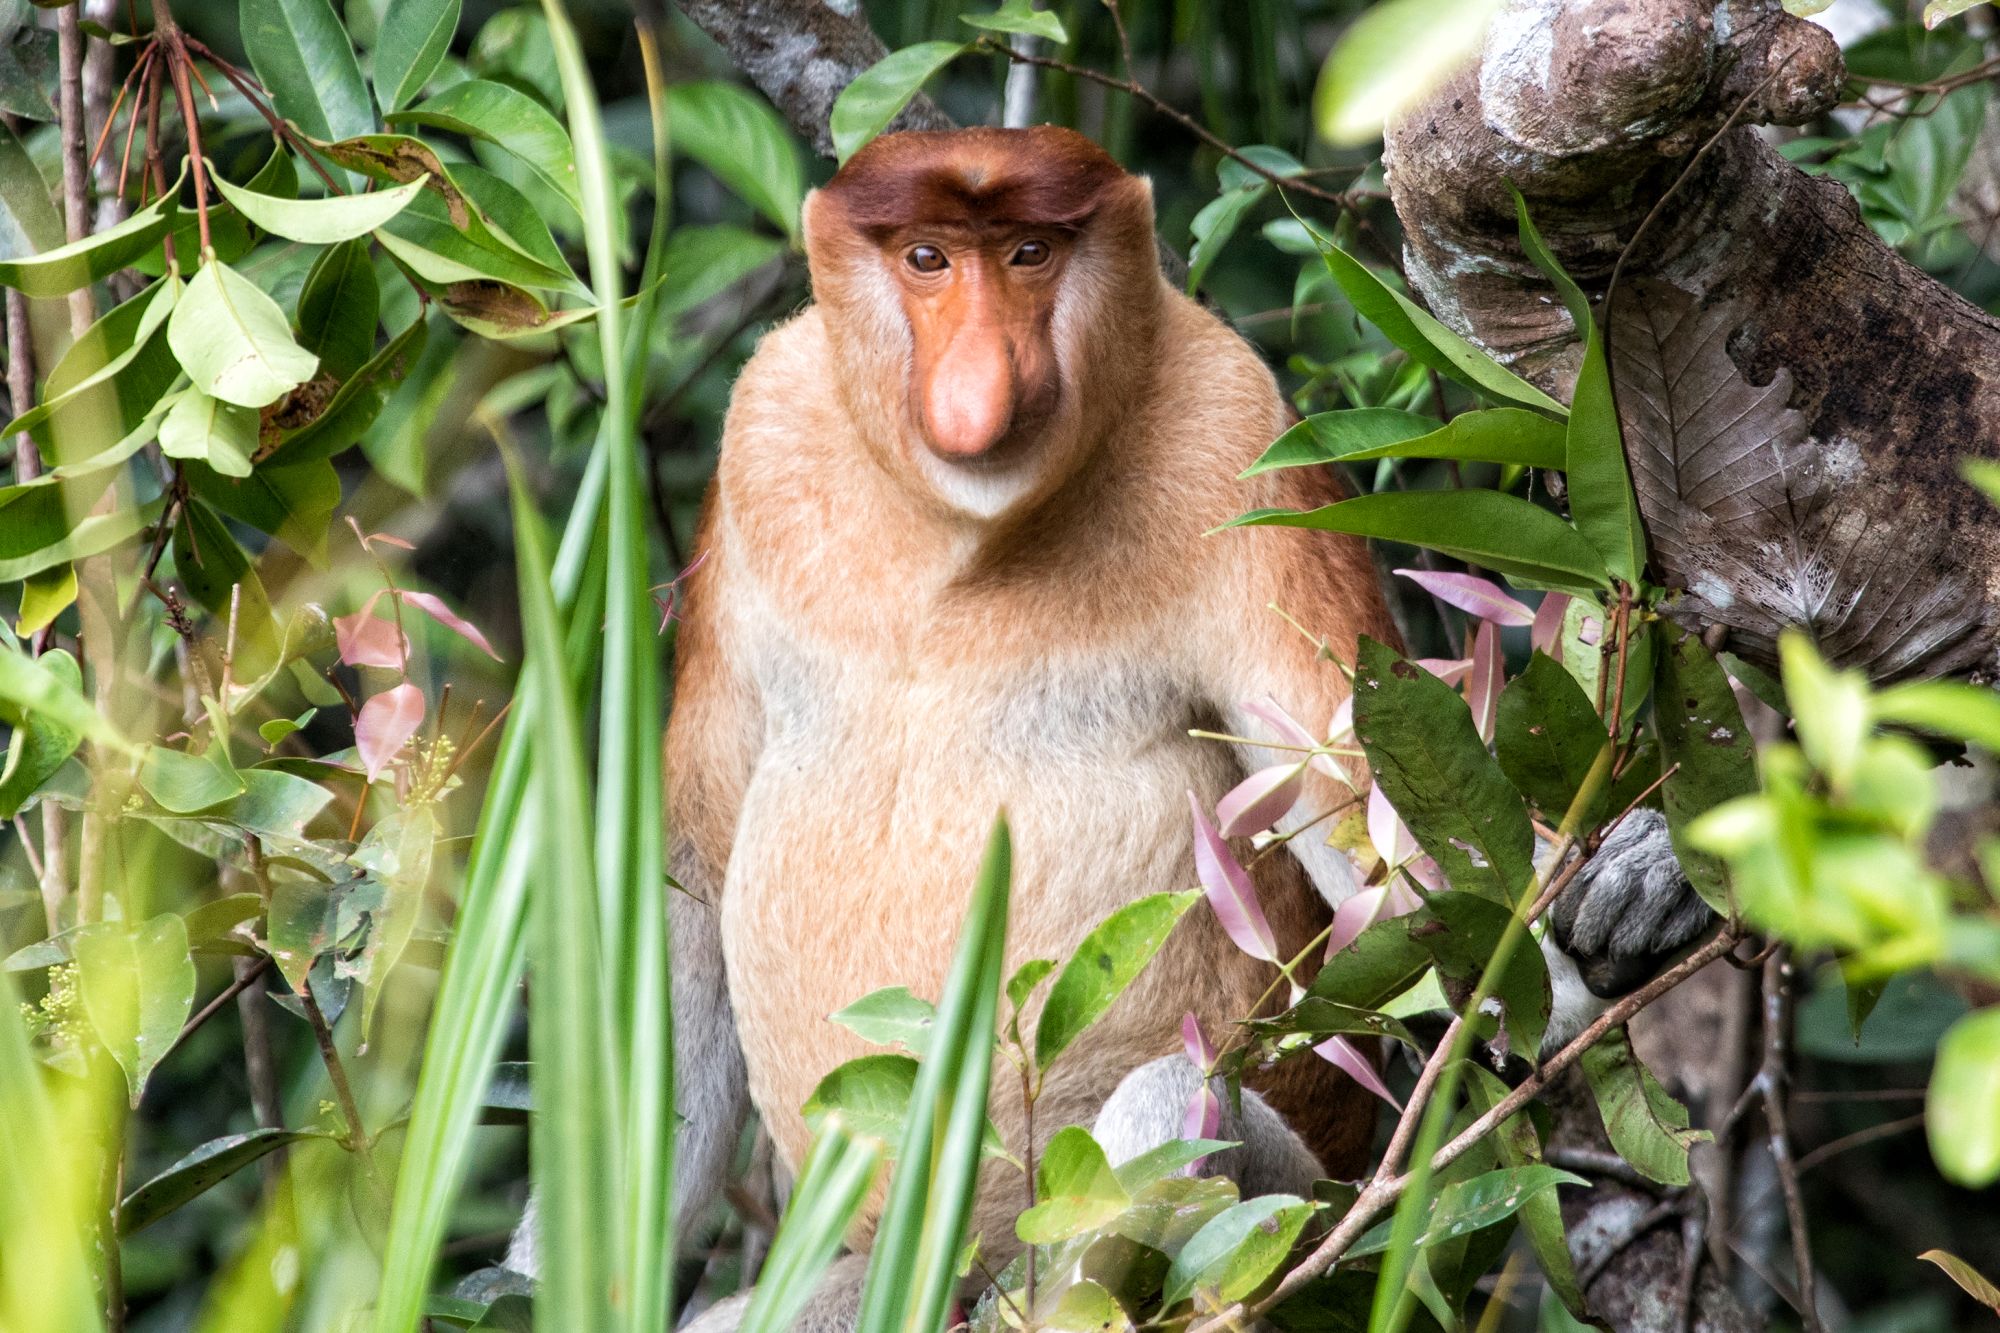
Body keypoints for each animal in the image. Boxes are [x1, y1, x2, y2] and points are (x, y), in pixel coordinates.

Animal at [505, 126, 1717, 1326]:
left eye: (1030, 253)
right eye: (928, 258)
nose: (981, 379)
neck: (960, 532)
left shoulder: (1232, 435)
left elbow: (1366, 823)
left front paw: (1639, 896)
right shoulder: (765, 425)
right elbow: (695, 868)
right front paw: (536, 1274)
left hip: (1287, 1219)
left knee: (1178, 1100)